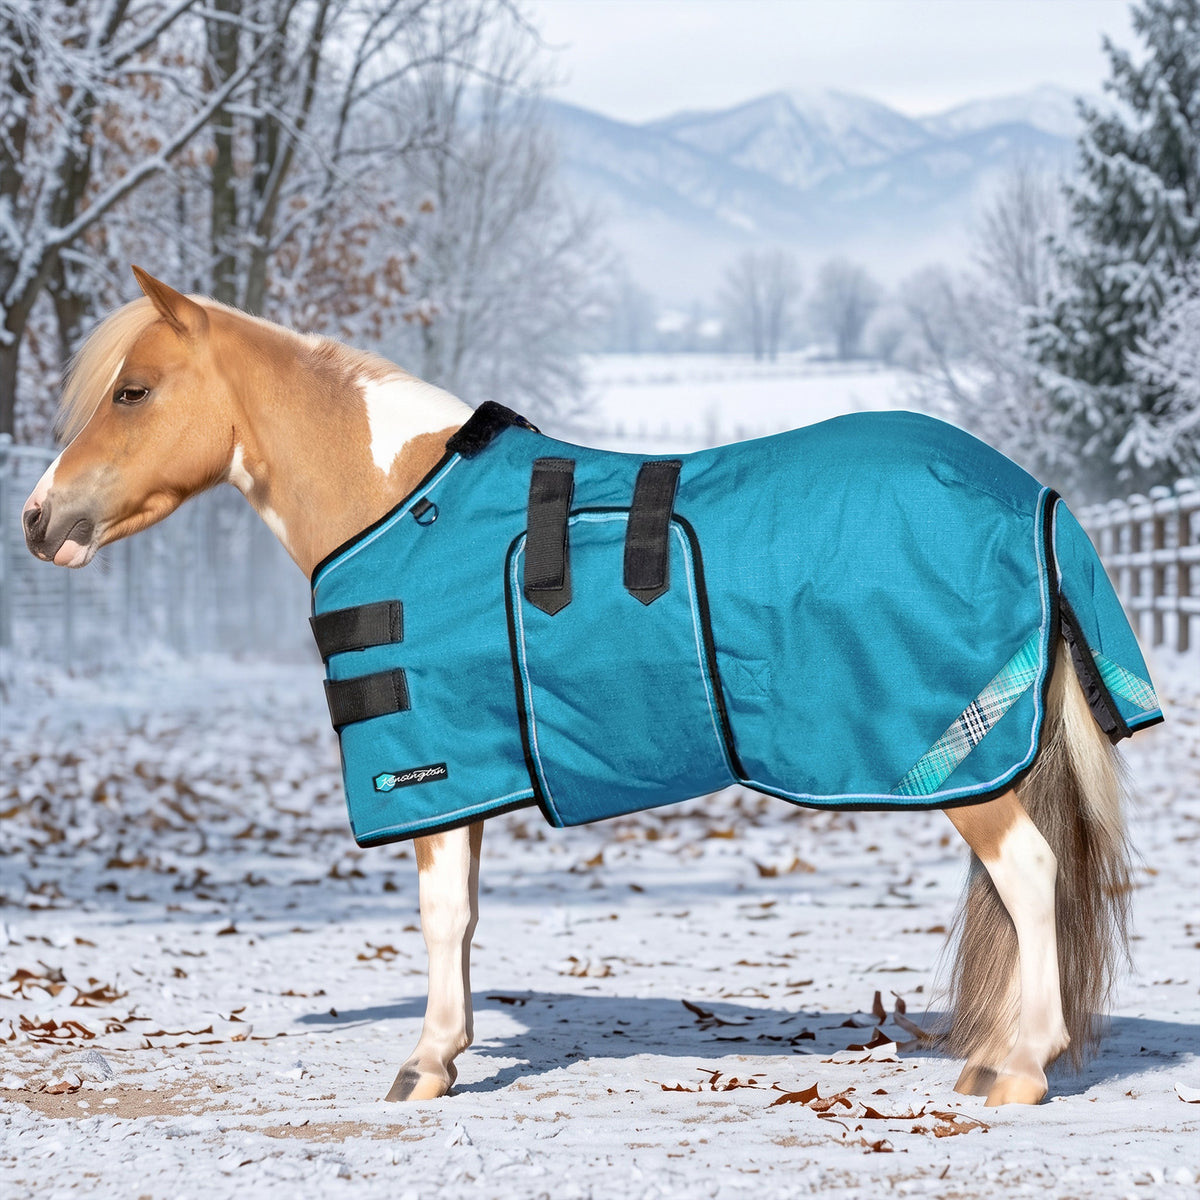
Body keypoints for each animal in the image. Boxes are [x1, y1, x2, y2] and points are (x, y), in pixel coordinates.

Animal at [21, 267, 1155, 1108]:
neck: (402, 499)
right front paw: (447, 1050)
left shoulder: (436, 766)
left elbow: (438, 915)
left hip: (958, 763)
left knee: (1030, 873)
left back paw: (1021, 1069)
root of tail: (1031, 495)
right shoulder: (471, 774)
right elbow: (466, 916)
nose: (39, 519)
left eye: (133, 391)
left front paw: (425, 1063)